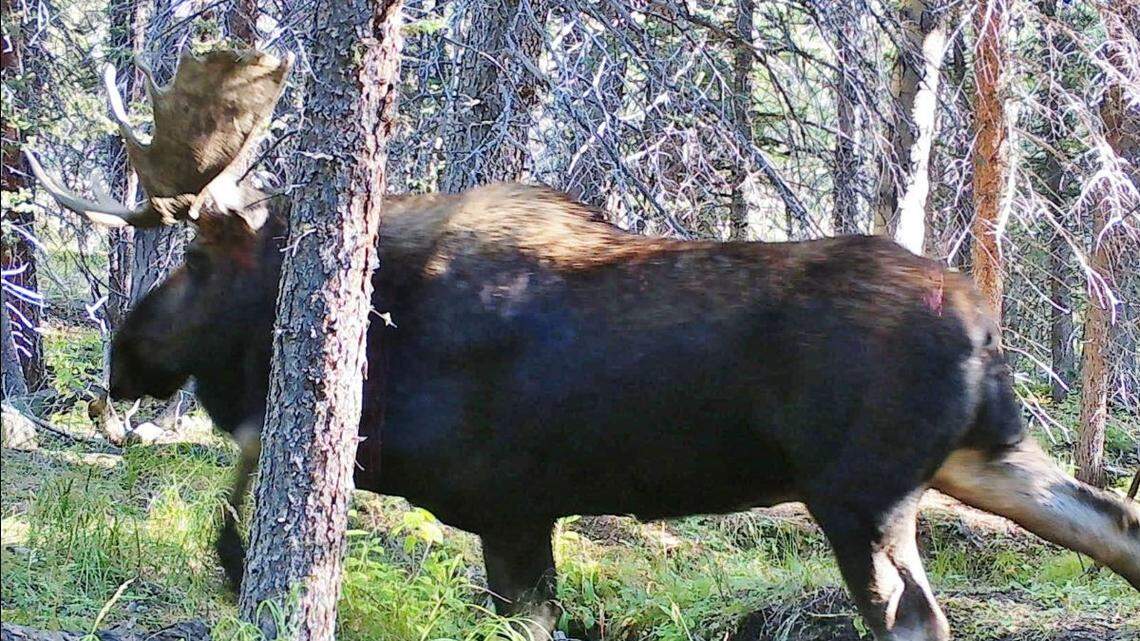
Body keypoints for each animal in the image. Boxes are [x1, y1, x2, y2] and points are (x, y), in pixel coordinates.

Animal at [25, 48, 1140, 641]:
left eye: (193, 260)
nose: (120, 357)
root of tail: (986, 322)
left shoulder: (509, 504)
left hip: (861, 493)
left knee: (917, 617)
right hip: (981, 452)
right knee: (1113, 523)